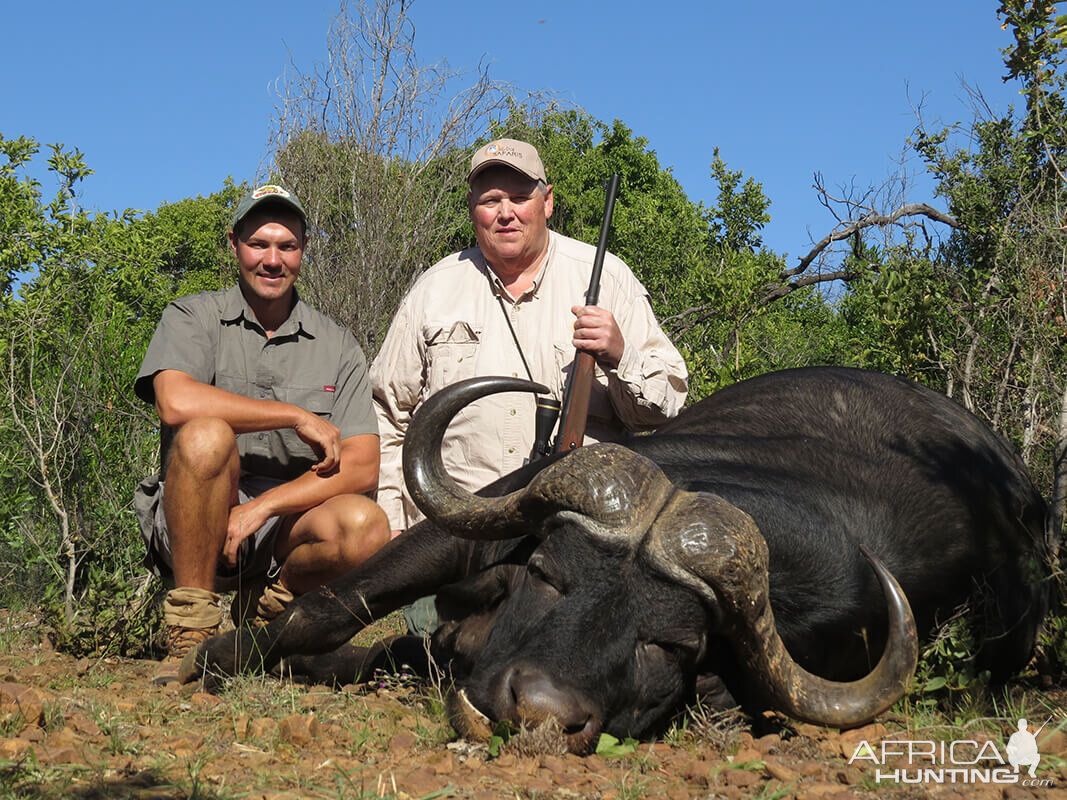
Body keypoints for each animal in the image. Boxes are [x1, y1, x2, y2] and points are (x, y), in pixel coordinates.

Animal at [181, 366, 1049, 755]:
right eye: (546, 576)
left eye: (668, 645)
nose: (537, 712)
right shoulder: (478, 521)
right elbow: (328, 611)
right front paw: (217, 659)